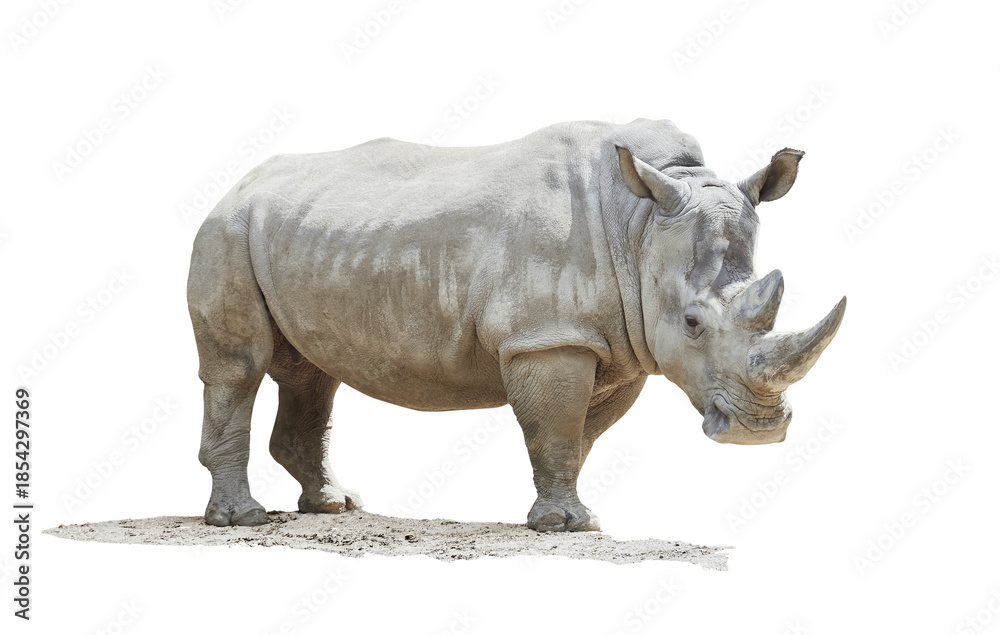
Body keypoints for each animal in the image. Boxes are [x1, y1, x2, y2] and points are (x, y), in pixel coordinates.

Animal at [187, 118, 845, 532]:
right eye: (691, 323)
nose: (757, 432)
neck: (639, 223)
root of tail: (235, 185)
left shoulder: (616, 345)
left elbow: (579, 438)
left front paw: (572, 516)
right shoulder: (547, 337)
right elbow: (555, 429)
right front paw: (563, 526)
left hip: (299, 233)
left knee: (312, 374)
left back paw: (334, 506)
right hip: (226, 232)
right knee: (239, 369)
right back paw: (242, 520)